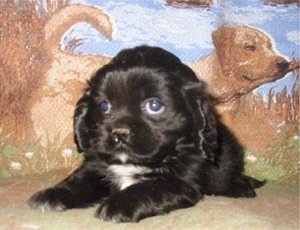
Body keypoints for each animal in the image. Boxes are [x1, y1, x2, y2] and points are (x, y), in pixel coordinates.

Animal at [27, 45, 262, 223]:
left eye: (154, 105)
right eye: (104, 106)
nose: (119, 133)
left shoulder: (180, 181)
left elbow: (147, 187)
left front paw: (118, 204)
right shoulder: (97, 165)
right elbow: (79, 181)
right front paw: (54, 194)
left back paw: (241, 187)